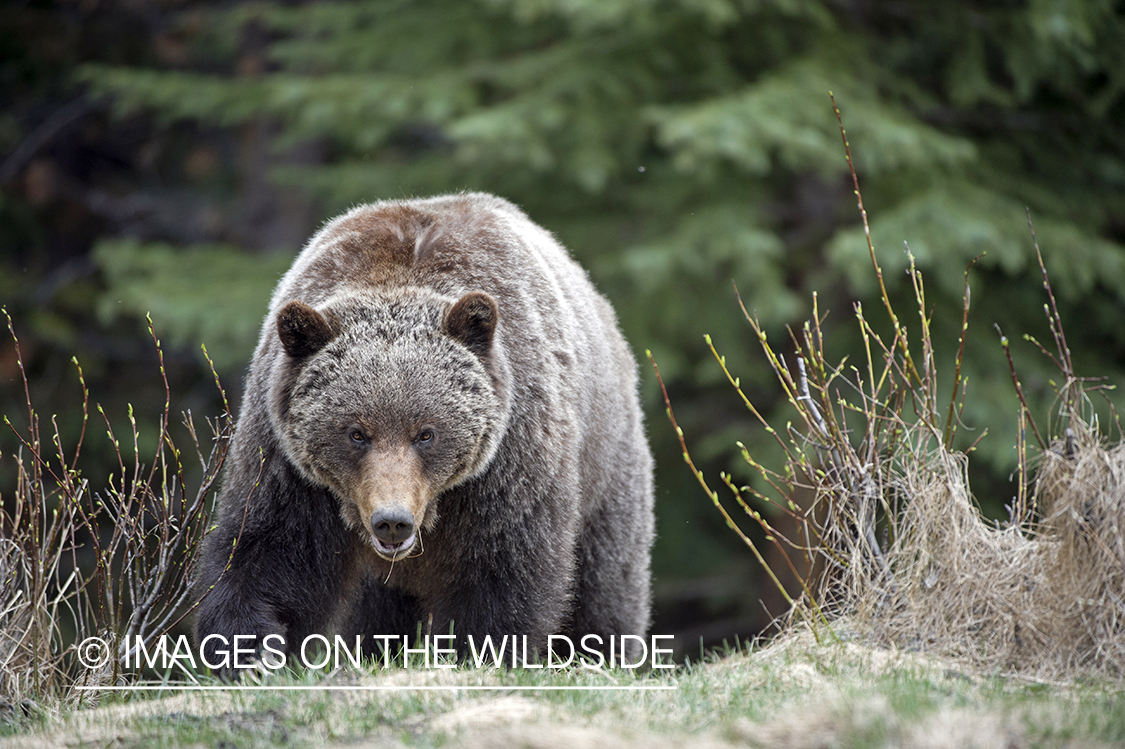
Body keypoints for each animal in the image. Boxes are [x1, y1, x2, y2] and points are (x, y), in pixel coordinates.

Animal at [192, 192, 652, 670]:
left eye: (426, 433)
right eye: (356, 433)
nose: (392, 521)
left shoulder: (510, 456)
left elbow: (502, 566)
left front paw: (479, 649)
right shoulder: (286, 458)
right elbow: (272, 546)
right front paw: (249, 649)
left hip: (606, 465)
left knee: (605, 581)